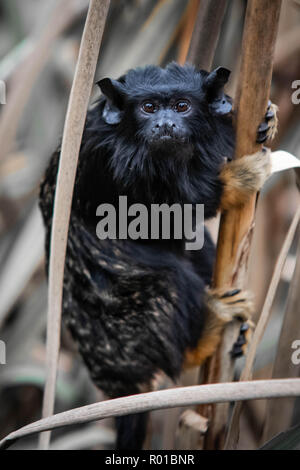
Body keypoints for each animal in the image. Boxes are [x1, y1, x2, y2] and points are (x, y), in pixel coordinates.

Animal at [38, 61, 278, 448]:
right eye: (148, 108)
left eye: (182, 106)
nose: (165, 124)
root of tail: (119, 383)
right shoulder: (104, 160)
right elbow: (157, 216)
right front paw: (234, 180)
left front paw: (268, 117)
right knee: (165, 278)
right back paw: (205, 331)